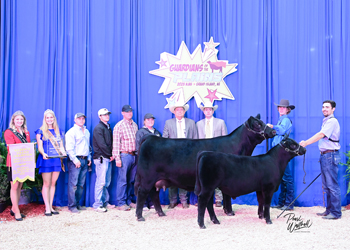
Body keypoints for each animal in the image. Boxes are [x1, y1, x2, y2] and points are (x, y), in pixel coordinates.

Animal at [134, 114, 276, 222]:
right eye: (257, 124)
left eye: (263, 122)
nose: (273, 131)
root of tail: (150, 137)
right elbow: (227, 195)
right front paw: (230, 212)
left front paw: (226, 210)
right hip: (147, 177)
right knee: (142, 193)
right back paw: (140, 216)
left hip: (154, 179)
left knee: (154, 194)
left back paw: (161, 213)